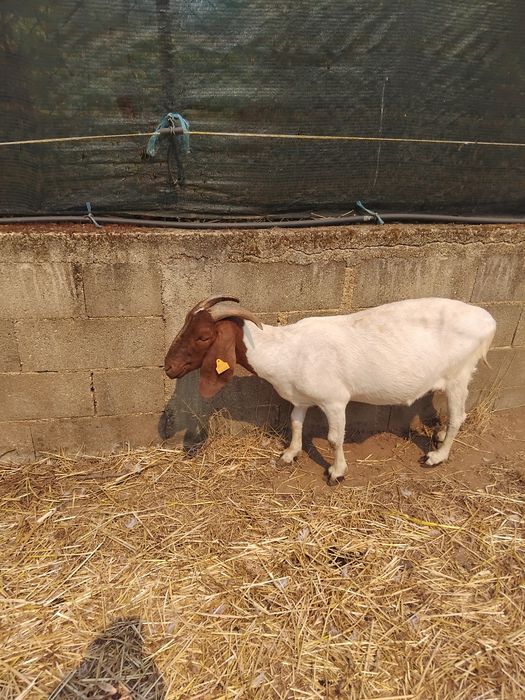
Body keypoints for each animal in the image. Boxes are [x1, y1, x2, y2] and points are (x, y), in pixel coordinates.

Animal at [164, 295, 496, 482]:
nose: (168, 367)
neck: (284, 349)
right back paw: (437, 438)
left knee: (459, 417)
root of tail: (489, 321)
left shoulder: (334, 400)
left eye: (203, 336)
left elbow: (336, 438)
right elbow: (295, 423)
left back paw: (437, 456)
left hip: (458, 375)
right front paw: (289, 454)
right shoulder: (300, 398)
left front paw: (337, 472)